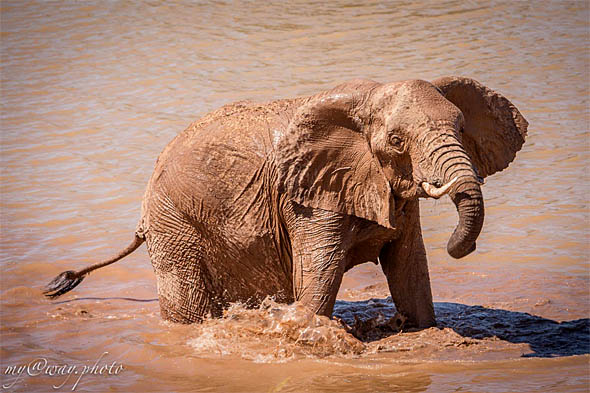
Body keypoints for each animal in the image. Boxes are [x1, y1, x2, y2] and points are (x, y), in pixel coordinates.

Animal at [44, 76, 528, 328]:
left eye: (462, 127)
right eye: (395, 140)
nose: (462, 244)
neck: (368, 93)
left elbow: (409, 267)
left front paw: (423, 329)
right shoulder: (306, 199)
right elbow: (320, 274)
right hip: (172, 222)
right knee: (186, 301)